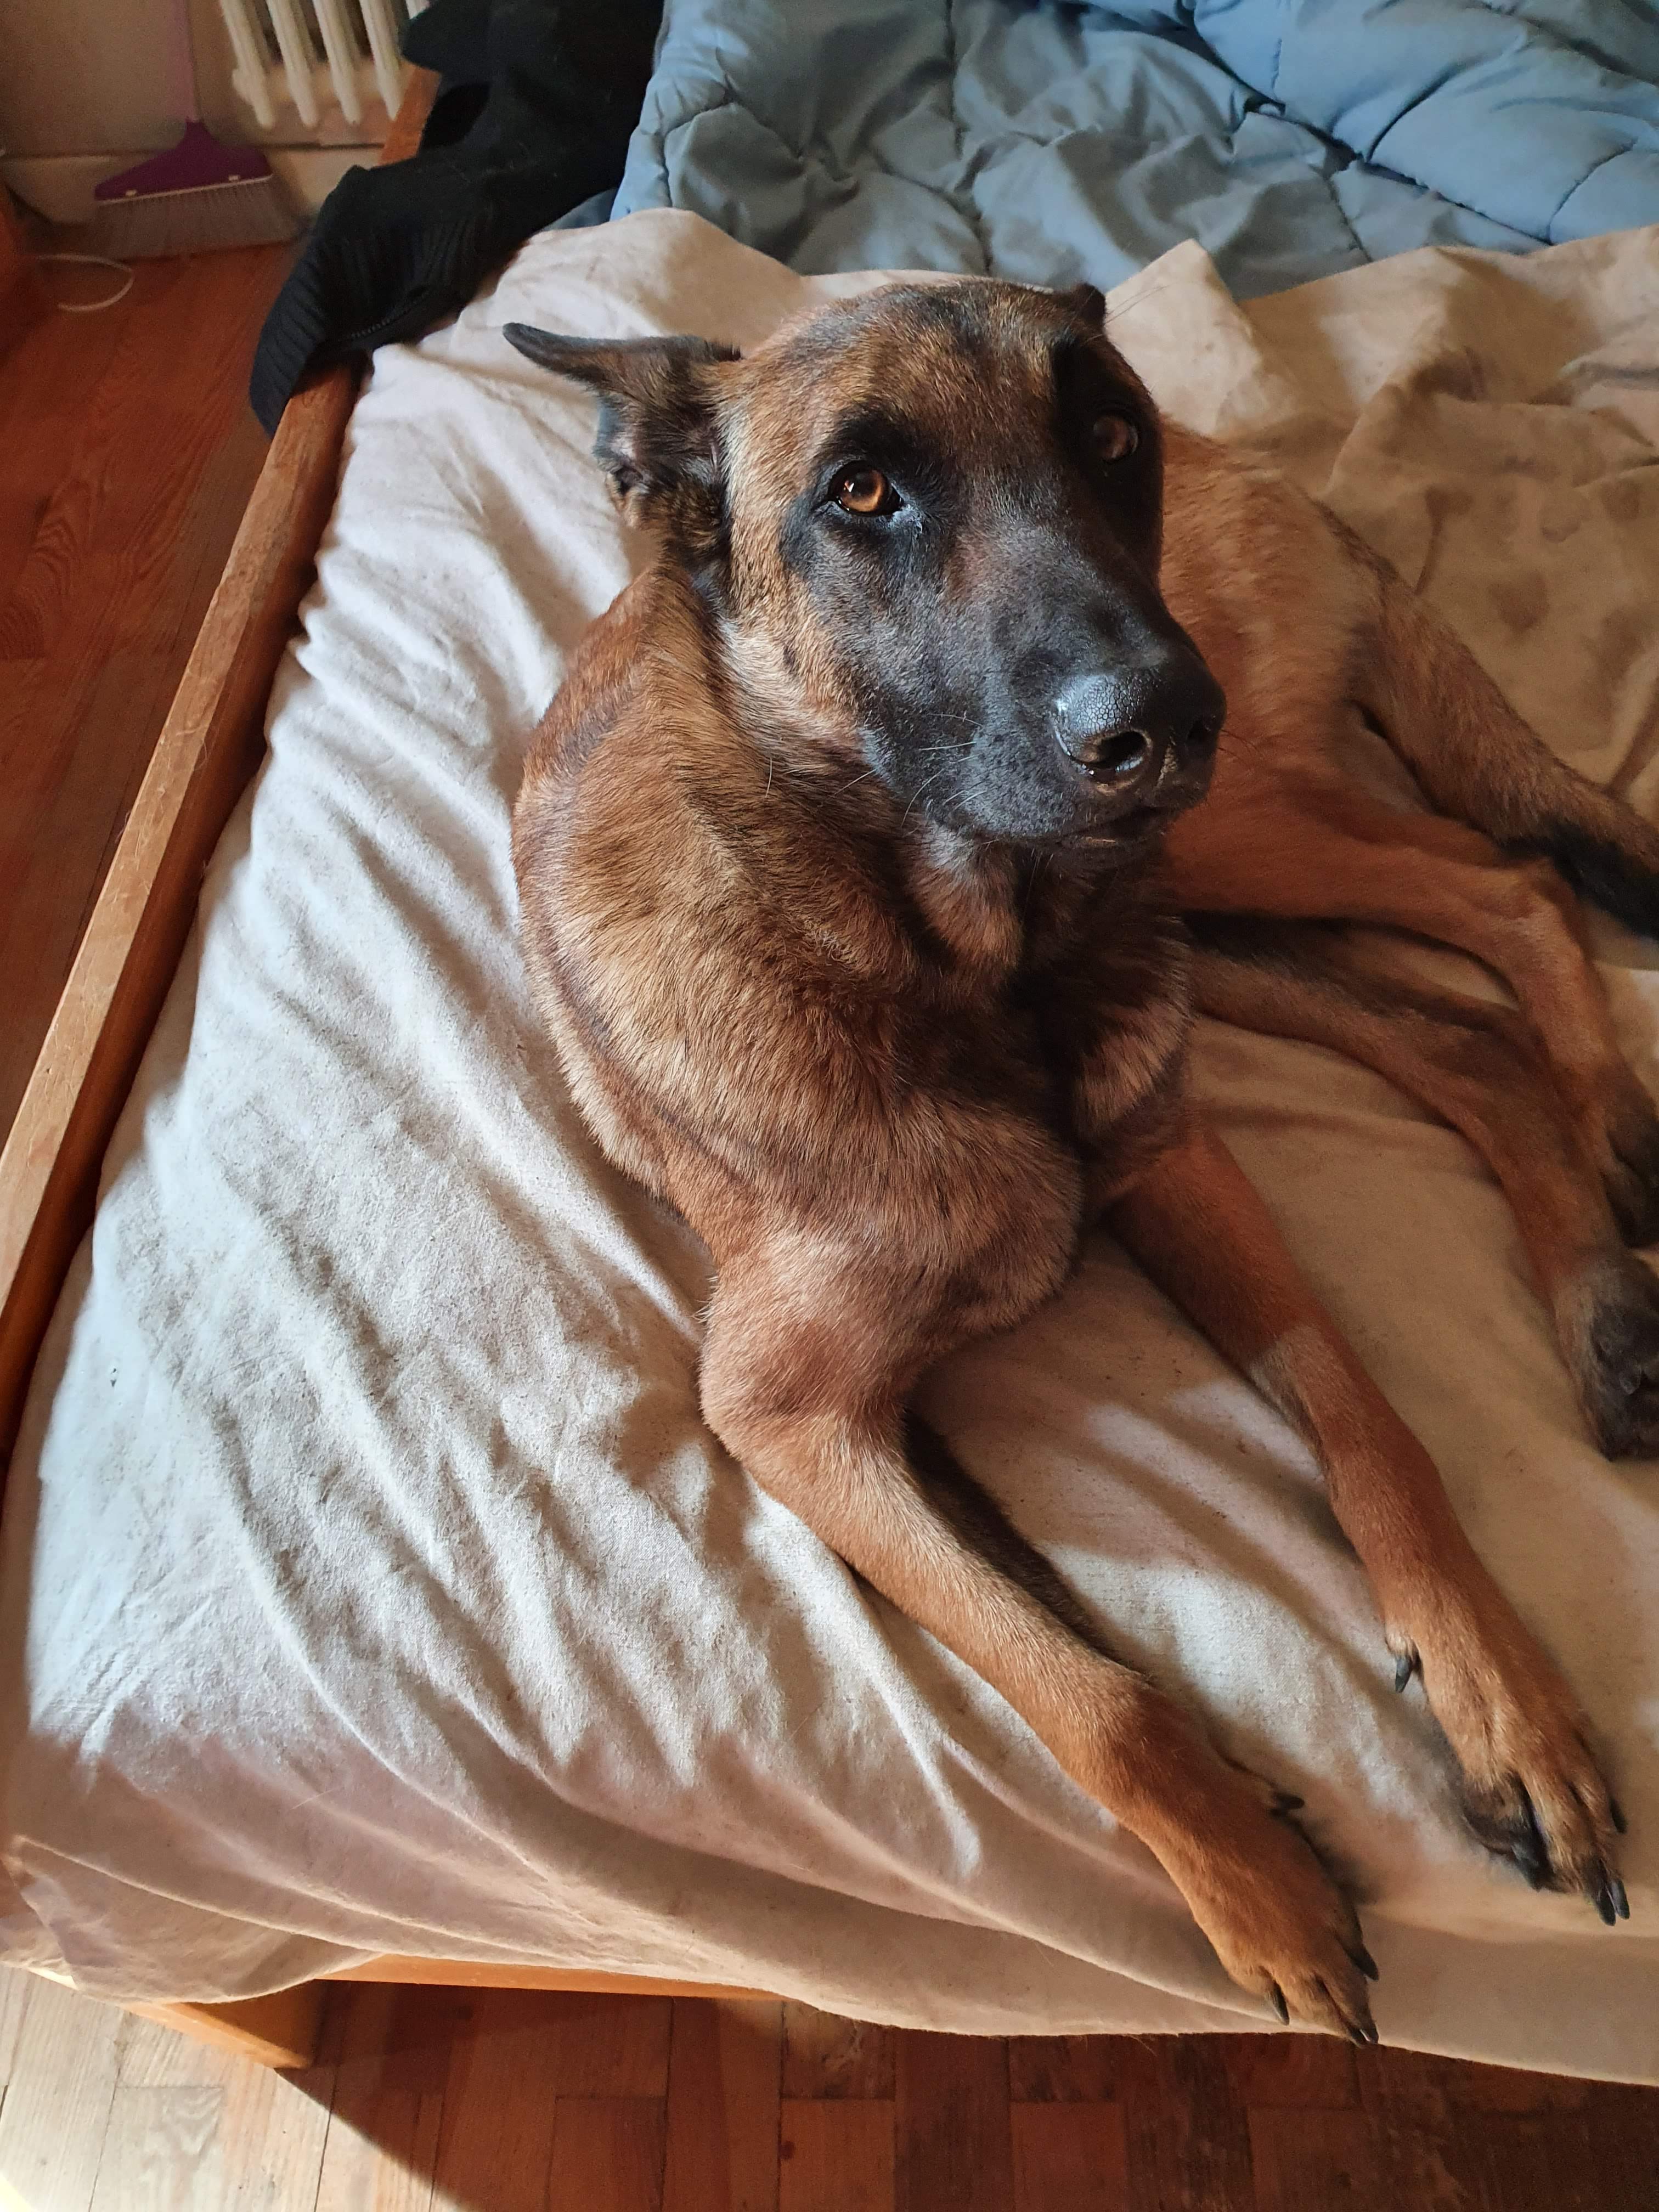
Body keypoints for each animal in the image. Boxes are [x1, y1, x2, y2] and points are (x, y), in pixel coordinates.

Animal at [502, 279, 1648, 2041]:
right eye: (861, 493)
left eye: (1110, 436)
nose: (1162, 721)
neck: (957, 959)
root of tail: (1268, 470)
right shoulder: (796, 1421)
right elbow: (1080, 1684)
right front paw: (1262, 1874)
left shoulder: (1179, 1170)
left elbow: (1375, 1434)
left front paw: (1503, 1701)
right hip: (1223, 903)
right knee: (1466, 1029)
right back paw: (1601, 1272)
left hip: (1233, 847)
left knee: (1509, 883)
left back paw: (1610, 1148)